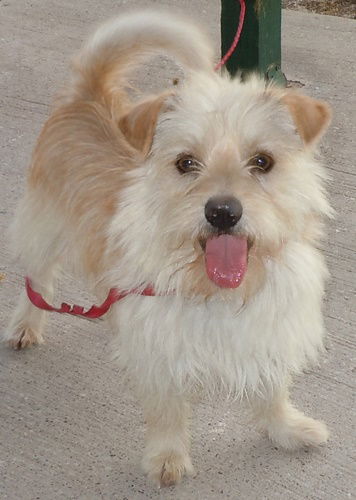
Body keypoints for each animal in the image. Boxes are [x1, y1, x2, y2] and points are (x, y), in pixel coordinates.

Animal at [4, 10, 332, 488]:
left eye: (263, 161)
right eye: (185, 163)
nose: (222, 212)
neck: (213, 288)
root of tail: (88, 94)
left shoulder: (269, 327)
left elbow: (274, 388)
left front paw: (286, 428)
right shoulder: (157, 348)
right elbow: (167, 410)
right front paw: (166, 456)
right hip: (46, 227)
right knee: (37, 279)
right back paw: (26, 323)